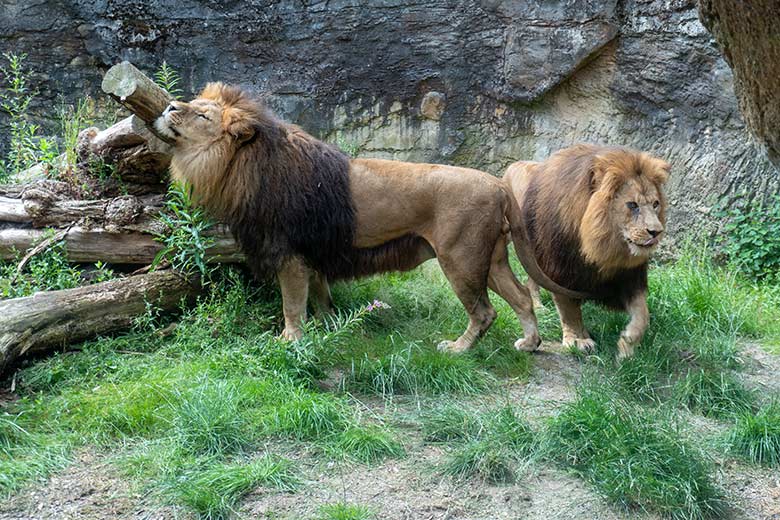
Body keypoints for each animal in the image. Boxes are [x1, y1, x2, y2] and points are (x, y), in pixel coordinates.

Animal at [154, 83, 584, 354]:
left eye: (202, 115)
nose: (170, 107)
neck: (242, 165)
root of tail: (498, 185)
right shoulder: (314, 255)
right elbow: (321, 299)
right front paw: (329, 326)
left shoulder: (290, 254)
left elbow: (292, 305)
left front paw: (289, 342)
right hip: (490, 258)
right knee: (522, 299)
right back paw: (529, 344)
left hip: (460, 259)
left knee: (485, 311)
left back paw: (458, 349)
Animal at [506, 144, 672, 360]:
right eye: (632, 205)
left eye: (655, 204)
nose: (656, 232)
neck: (603, 249)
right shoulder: (561, 267)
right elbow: (569, 309)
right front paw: (578, 340)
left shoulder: (630, 277)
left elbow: (642, 314)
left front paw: (626, 345)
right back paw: (539, 307)